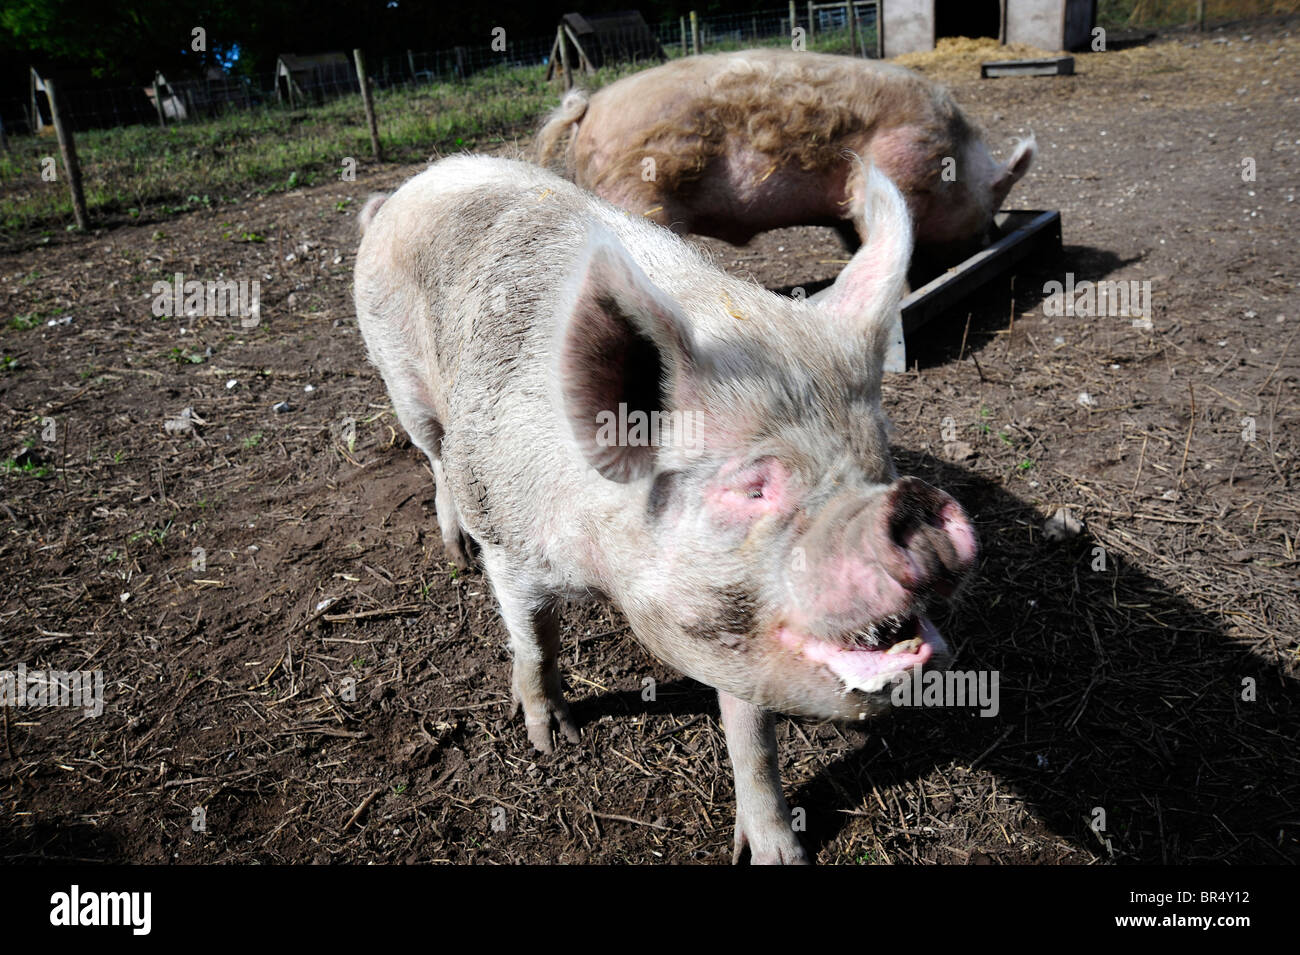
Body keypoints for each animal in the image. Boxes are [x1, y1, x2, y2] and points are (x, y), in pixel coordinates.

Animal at [353, 157, 977, 867]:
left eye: (880, 462)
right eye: (753, 487)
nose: (918, 506)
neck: (601, 571)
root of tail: (416, 183)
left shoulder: (726, 618)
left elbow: (752, 732)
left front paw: (778, 854)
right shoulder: (510, 542)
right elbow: (534, 642)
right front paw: (553, 740)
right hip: (402, 379)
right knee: (433, 454)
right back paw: (454, 549)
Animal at [538, 49, 1034, 250]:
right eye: (994, 197)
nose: (991, 237)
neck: (955, 158)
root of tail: (589, 106)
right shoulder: (900, 165)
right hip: (638, 194)